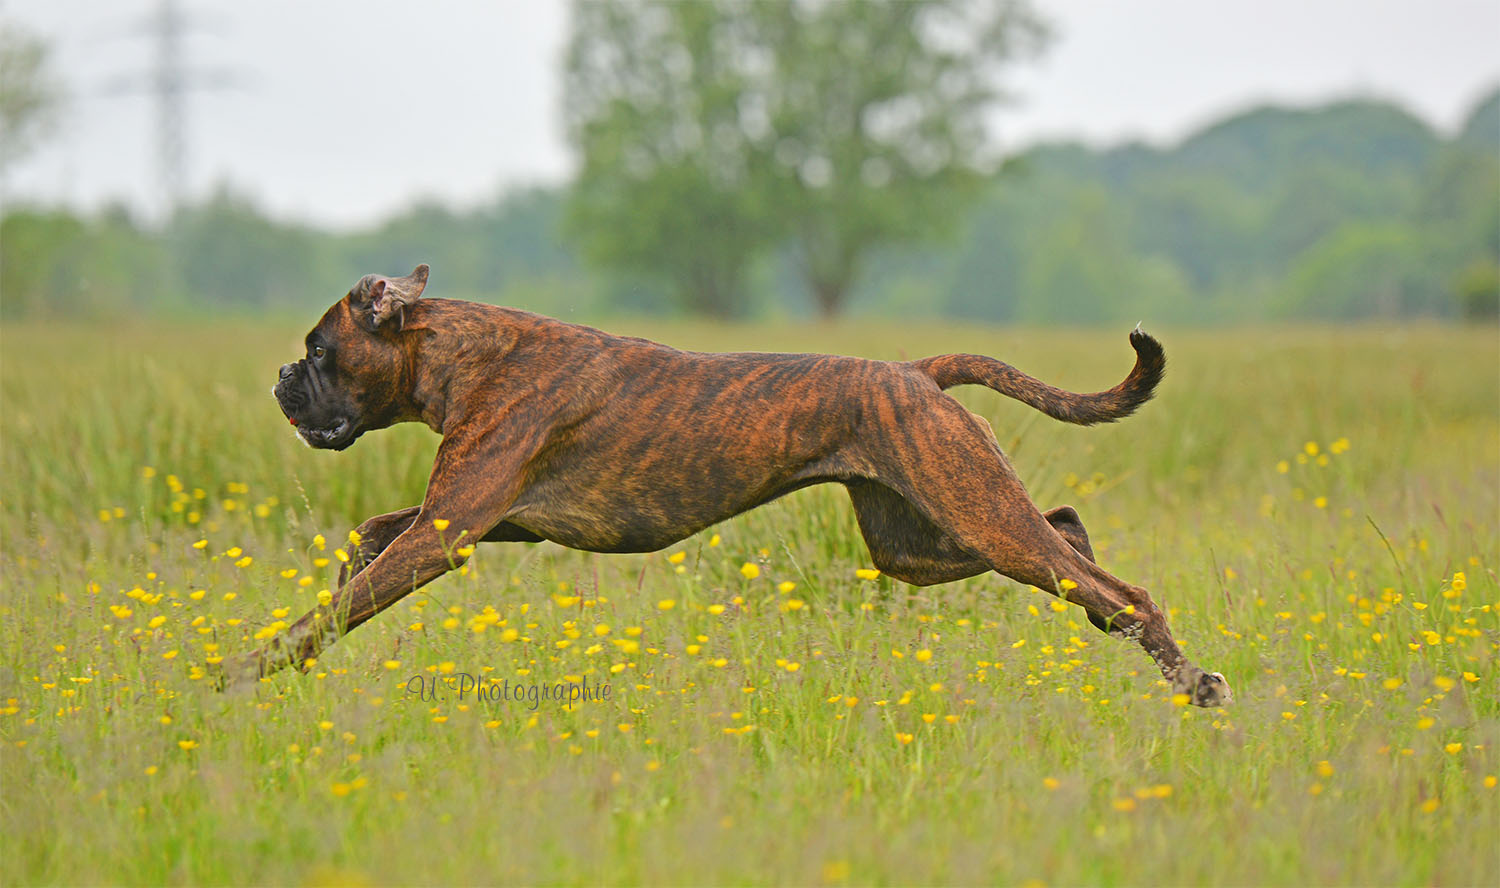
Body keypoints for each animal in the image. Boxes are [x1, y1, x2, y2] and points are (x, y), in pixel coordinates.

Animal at [222, 264, 1230, 708]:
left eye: (318, 350)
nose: (279, 380)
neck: (462, 353)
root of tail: (913, 371)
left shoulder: (452, 528)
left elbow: (337, 604)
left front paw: (246, 671)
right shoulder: (487, 521)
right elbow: (366, 542)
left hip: (975, 519)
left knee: (1115, 585)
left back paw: (1195, 681)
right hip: (920, 543)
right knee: (1069, 534)